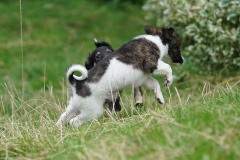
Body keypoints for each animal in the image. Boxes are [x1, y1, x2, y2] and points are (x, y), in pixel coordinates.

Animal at [56, 25, 184, 127]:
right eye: (177, 46)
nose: (182, 61)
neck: (156, 41)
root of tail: (77, 83)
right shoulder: (151, 63)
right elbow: (168, 67)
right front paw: (168, 80)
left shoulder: (142, 78)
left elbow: (155, 84)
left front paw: (159, 98)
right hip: (93, 110)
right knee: (74, 121)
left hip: (74, 106)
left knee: (63, 117)